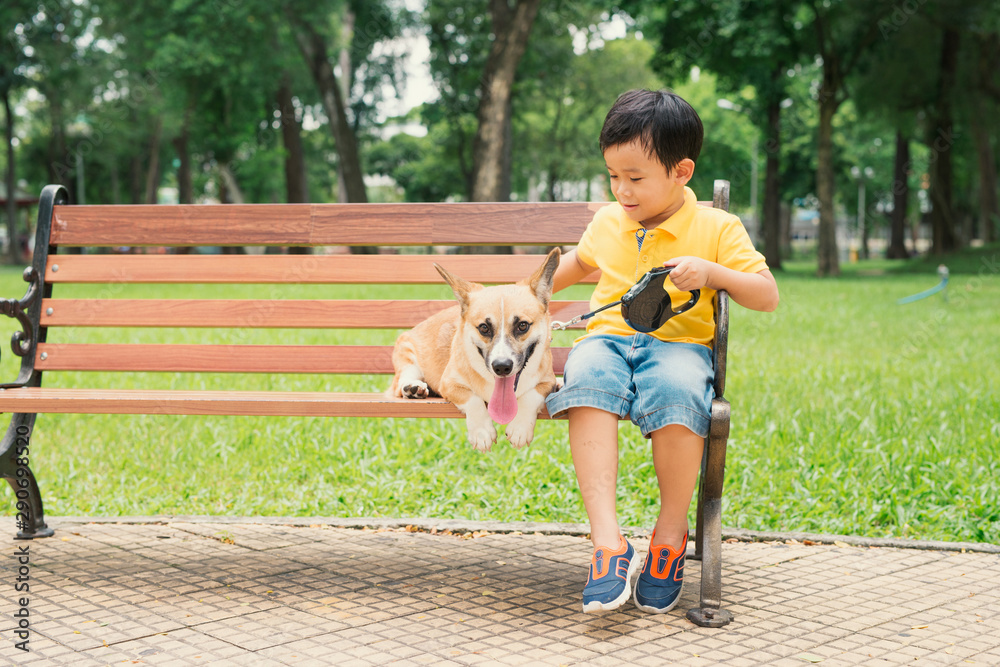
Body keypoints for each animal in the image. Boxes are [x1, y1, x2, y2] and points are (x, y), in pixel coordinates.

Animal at [388, 248, 564, 452]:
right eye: (484, 328)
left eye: (522, 325)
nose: (502, 367)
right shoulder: (449, 383)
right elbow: (472, 399)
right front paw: (482, 432)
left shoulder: (546, 381)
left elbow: (532, 395)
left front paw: (520, 428)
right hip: (407, 353)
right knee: (400, 382)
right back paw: (413, 388)